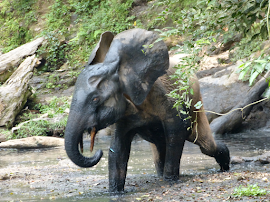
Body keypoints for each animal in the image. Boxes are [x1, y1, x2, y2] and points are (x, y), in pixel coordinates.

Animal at [63, 28, 230, 193]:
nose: (98, 151)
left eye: (95, 99)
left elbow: (177, 129)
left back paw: (225, 166)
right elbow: (118, 148)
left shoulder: (163, 96)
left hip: (196, 103)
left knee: (206, 145)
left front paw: (170, 181)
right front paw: (115, 192)